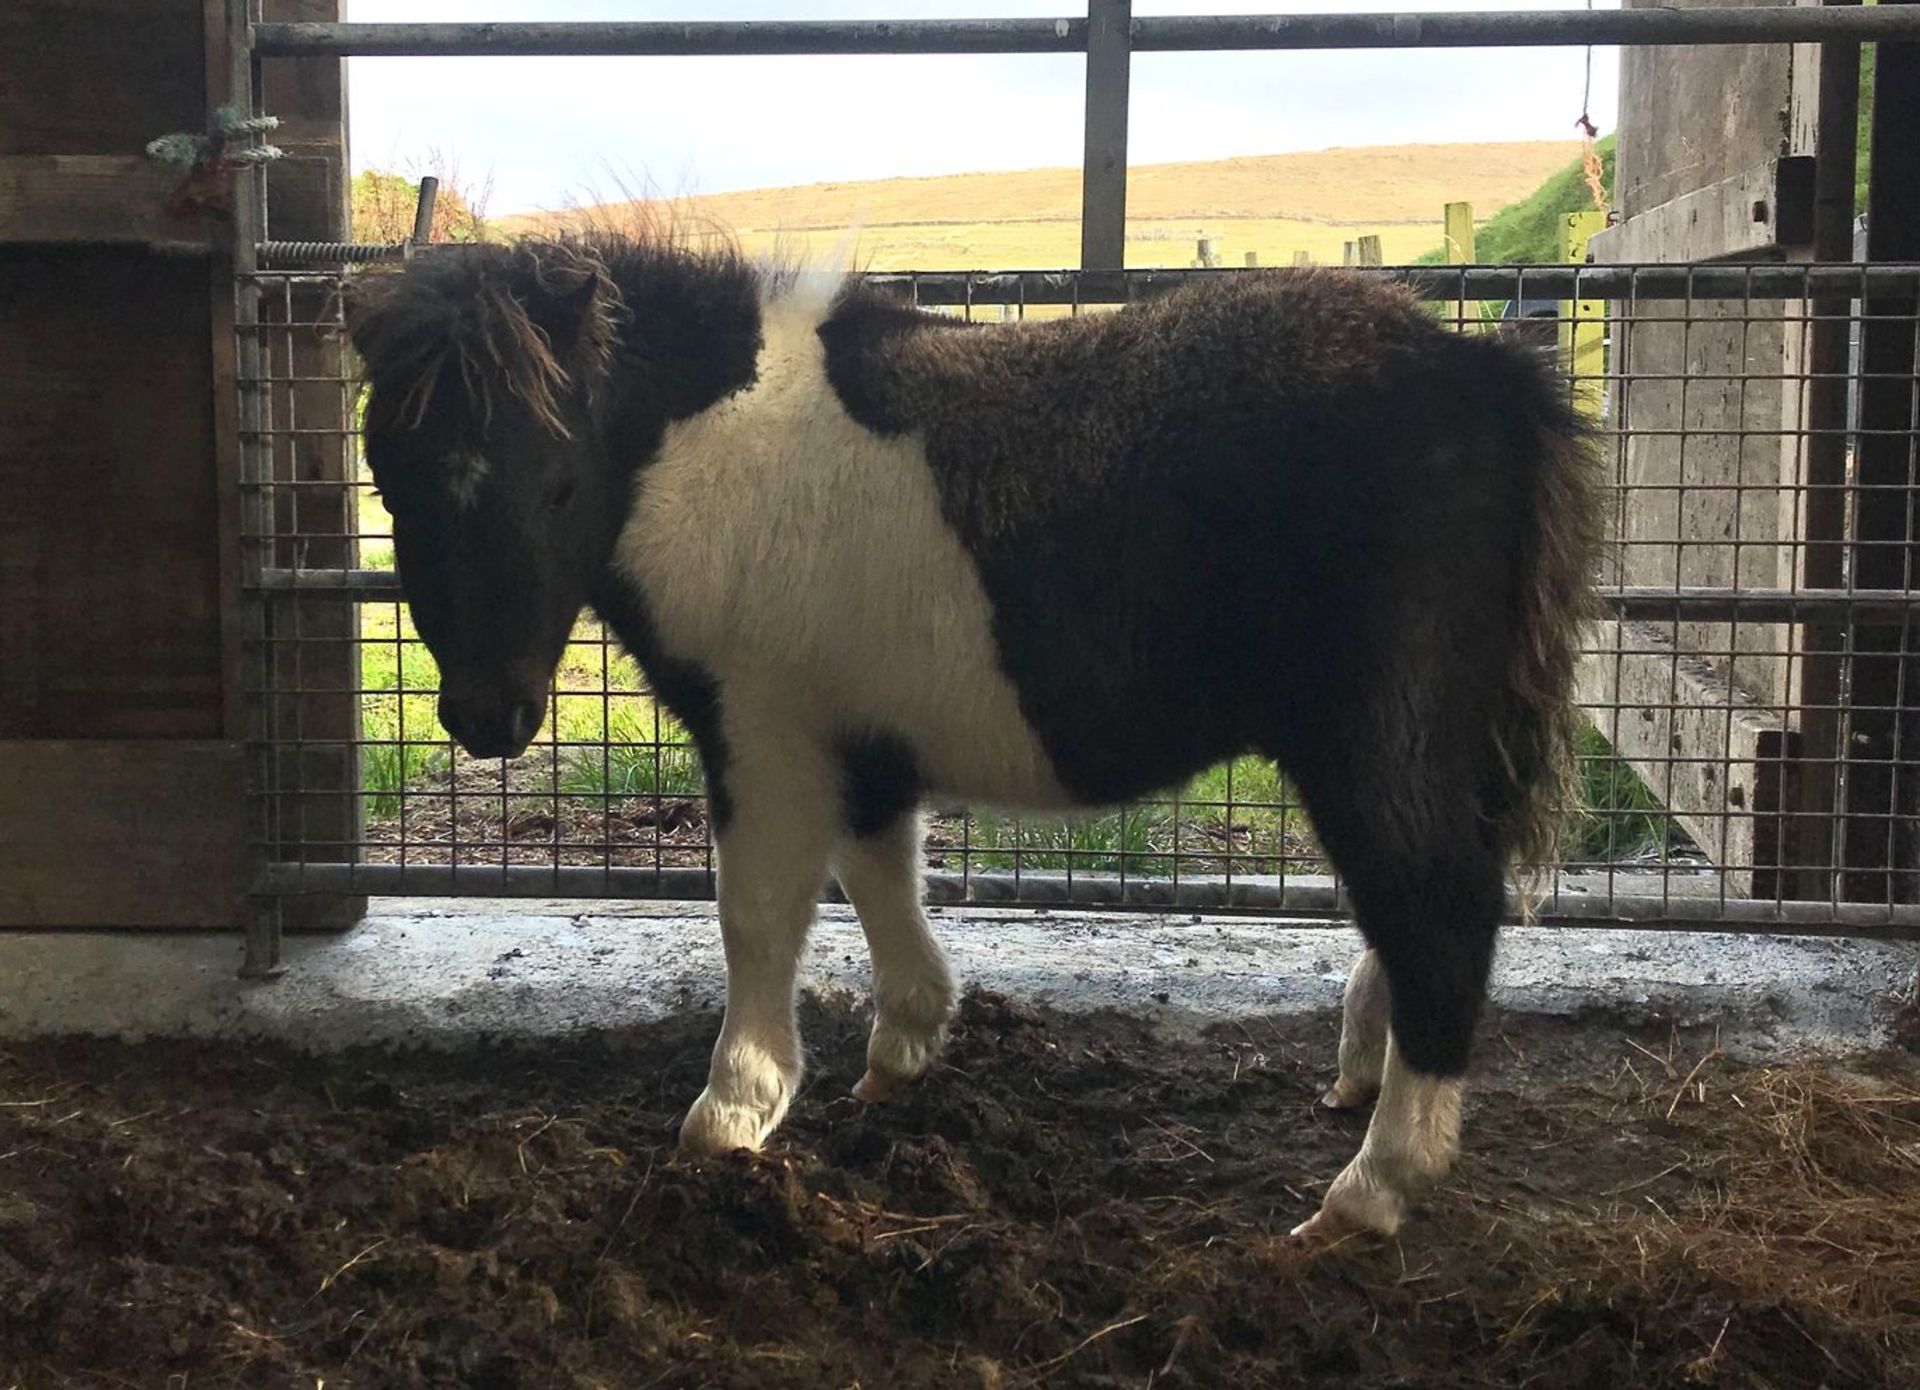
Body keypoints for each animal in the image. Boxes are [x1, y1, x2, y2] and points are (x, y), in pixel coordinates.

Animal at [349, 233, 1605, 1244]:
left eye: (559, 482)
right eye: (391, 478)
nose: (487, 717)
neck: (713, 447)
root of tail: (1484, 375)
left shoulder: (765, 733)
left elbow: (760, 915)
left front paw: (737, 1106)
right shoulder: (856, 739)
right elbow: (879, 877)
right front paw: (902, 1046)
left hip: (1371, 746)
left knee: (1437, 916)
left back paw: (1371, 1189)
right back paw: (1357, 1078)